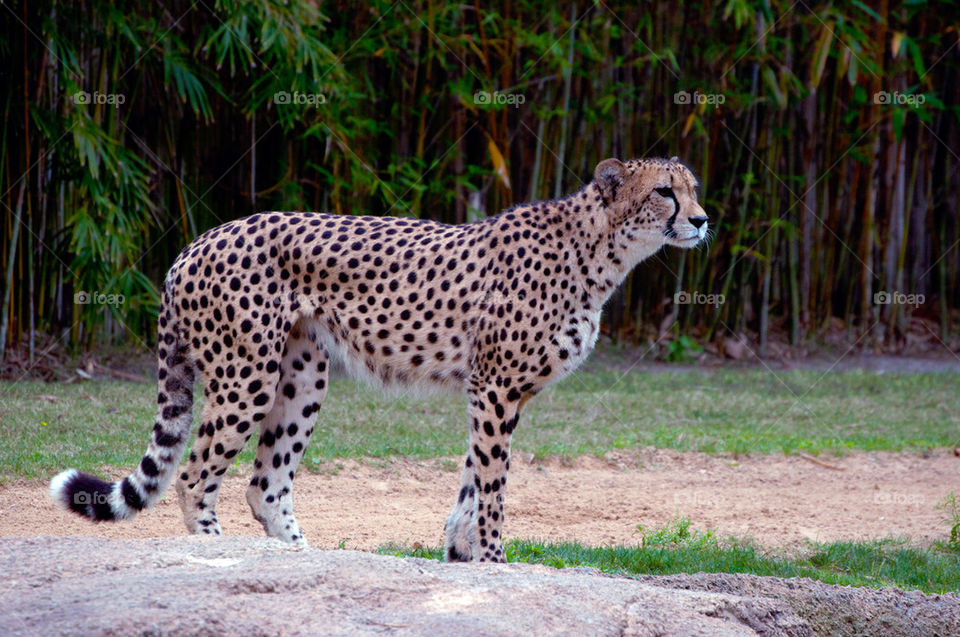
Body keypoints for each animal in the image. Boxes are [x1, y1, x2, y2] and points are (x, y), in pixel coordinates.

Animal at [50, 156, 709, 562]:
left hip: (303, 375)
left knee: (265, 483)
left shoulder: (491, 391)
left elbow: (471, 484)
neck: (600, 251)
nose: (703, 221)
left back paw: (299, 557)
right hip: (247, 376)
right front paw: (496, 561)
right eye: (665, 192)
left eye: (694, 188)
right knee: (193, 477)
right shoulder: (496, 387)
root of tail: (197, 242)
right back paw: (221, 553)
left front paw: (459, 556)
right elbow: (493, 488)